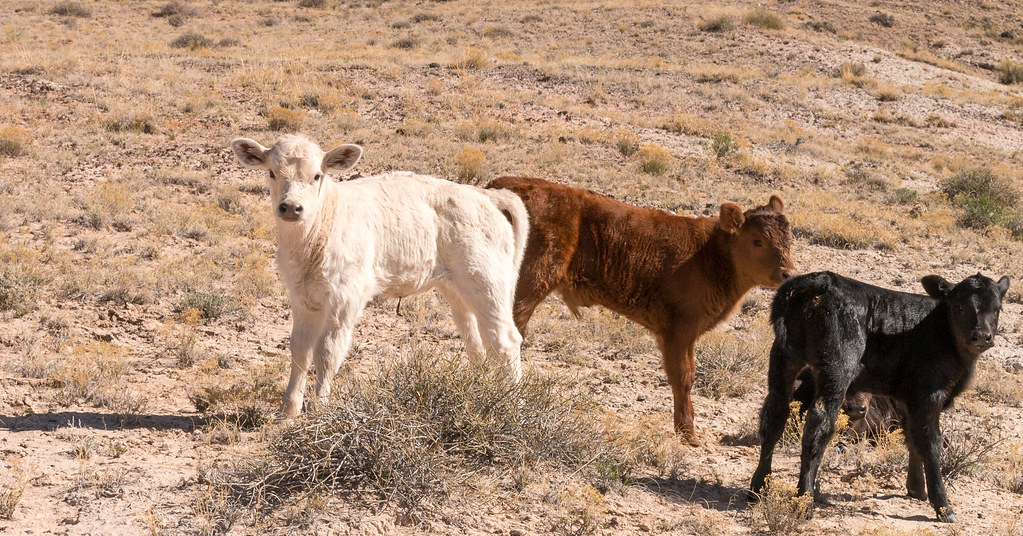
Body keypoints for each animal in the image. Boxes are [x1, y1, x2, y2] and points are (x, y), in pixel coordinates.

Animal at [231, 135, 527, 419]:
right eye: (271, 172)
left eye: (317, 175)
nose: (291, 207)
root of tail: (485, 194)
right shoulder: (302, 295)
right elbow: (300, 349)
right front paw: (288, 411)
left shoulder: (346, 295)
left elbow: (327, 351)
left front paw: (320, 410)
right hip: (456, 288)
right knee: (476, 342)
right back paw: (477, 392)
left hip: (487, 280)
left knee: (505, 341)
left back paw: (512, 405)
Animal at [482, 176, 793, 443]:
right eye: (757, 241)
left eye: (789, 239)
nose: (787, 273)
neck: (709, 253)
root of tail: (501, 187)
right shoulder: (679, 332)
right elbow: (684, 377)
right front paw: (688, 435)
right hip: (526, 289)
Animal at [748, 270, 1010, 521]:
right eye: (959, 307)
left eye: (997, 309)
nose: (982, 336)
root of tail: (823, 280)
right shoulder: (929, 395)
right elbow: (931, 444)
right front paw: (944, 507)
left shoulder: (908, 400)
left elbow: (912, 439)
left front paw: (917, 489)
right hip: (837, 368)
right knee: (818, 424)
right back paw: (805, 501)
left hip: (783, 358)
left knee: (774, 414)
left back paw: (758, 489)